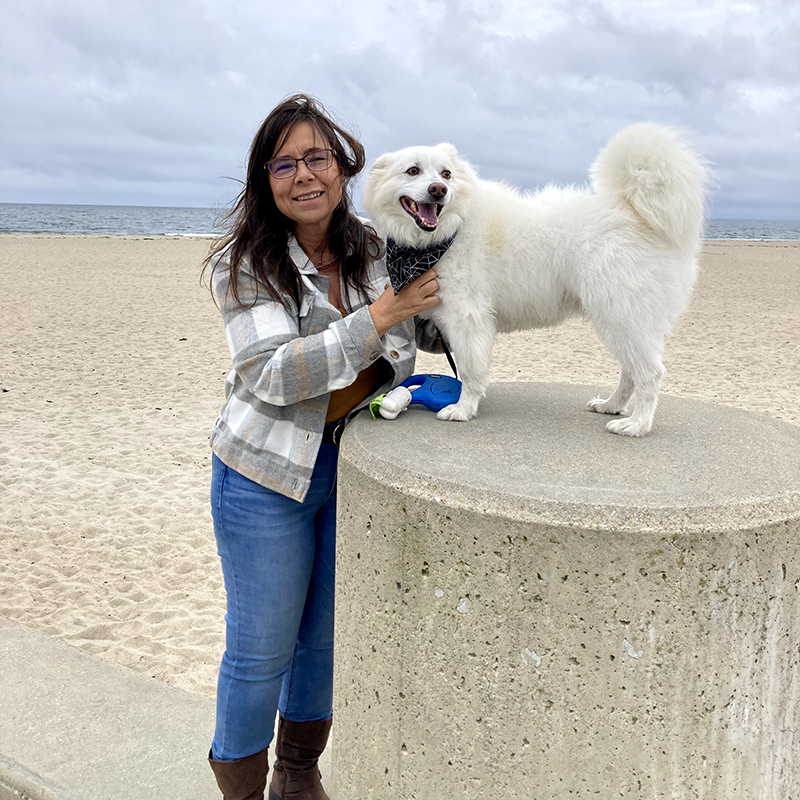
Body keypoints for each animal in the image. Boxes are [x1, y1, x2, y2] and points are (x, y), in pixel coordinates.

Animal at [362, 123, 708, 438]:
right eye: (413, 170)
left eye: (446, 174)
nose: (438, 189)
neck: (447, 234)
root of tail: (631, 208)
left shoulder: (468, 320)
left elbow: (471, 371)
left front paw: (462, 409)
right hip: (624, 321)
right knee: (631, 371)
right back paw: (611, 406)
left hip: (619, 315)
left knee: (650, 373)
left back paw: (637, 425)